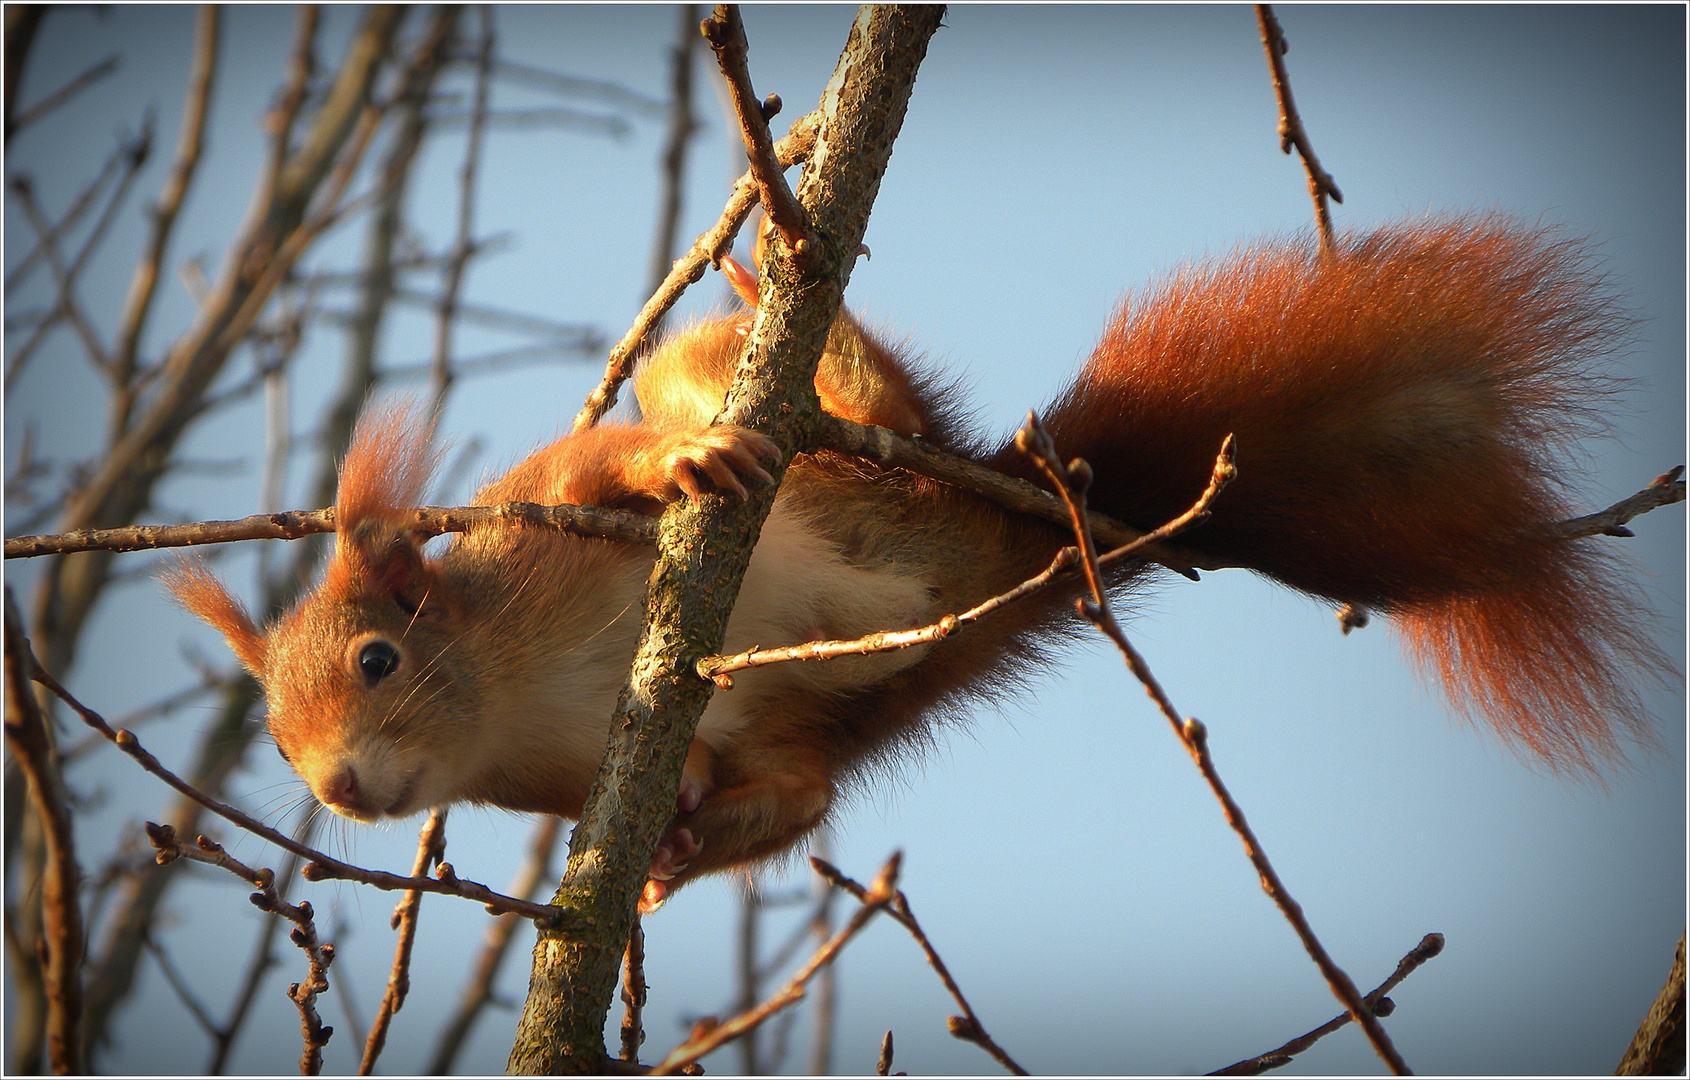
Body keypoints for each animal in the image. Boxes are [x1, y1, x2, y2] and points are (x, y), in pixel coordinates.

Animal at [168, 218, 1662, 905]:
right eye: (274, 736)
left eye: (378, 657)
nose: (341, 789)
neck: (506, 694)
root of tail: (1018, 532)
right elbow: (729, 794)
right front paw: (660, 856)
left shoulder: (539, 509)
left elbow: (603, 469)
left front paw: (679, 468)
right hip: (831, 708)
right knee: (803, 794)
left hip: (840, 444)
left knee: (834, 395)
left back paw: (790, 319)